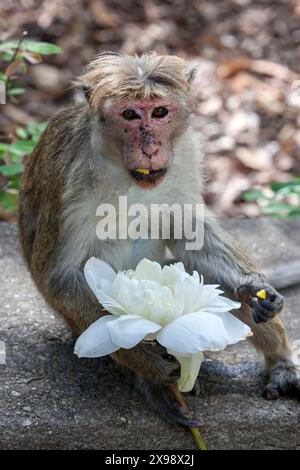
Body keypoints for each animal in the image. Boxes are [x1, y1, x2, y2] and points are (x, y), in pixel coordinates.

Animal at [18, 52, 298, 426]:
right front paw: (145, 361)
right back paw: (154, 384)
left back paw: (280, 362)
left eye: (160, 112)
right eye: (130, 115)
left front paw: (254, 289)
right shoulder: (70, 180)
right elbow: (59, 277)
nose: (151, 147)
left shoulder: (186, 155)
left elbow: (190, 232)